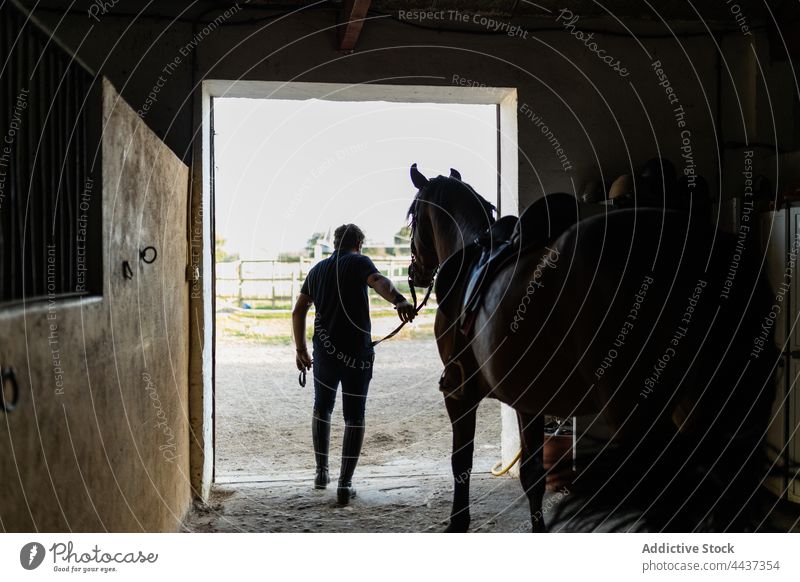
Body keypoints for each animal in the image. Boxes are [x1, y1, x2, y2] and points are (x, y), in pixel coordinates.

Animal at [406, 163, 776, 532]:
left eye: (412, 216)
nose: (415, 273)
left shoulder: (459, 393)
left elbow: (461, 463)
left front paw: (458, 523)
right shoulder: (528, 401)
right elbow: (532, 476)